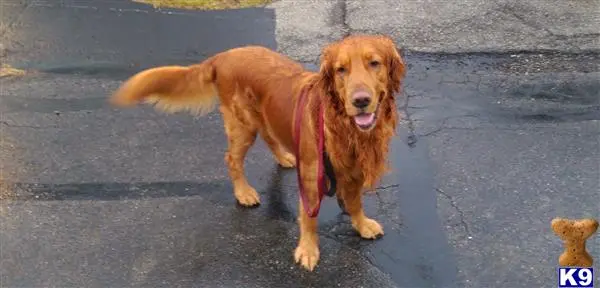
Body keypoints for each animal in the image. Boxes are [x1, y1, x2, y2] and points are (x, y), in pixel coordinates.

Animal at [109, 35, 406, 272]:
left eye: (374, 63)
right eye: (340, 70)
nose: (361, 101)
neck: (342, 126)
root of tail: (223, 56)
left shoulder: (354, 170)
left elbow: (355, 202)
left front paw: (361, 224)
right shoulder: (311, 176)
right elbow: (309, 217)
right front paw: (308, 250)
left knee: (269, 136)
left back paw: (285, 157)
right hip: (242, 125)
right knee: (232, 159)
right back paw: (243, 192)